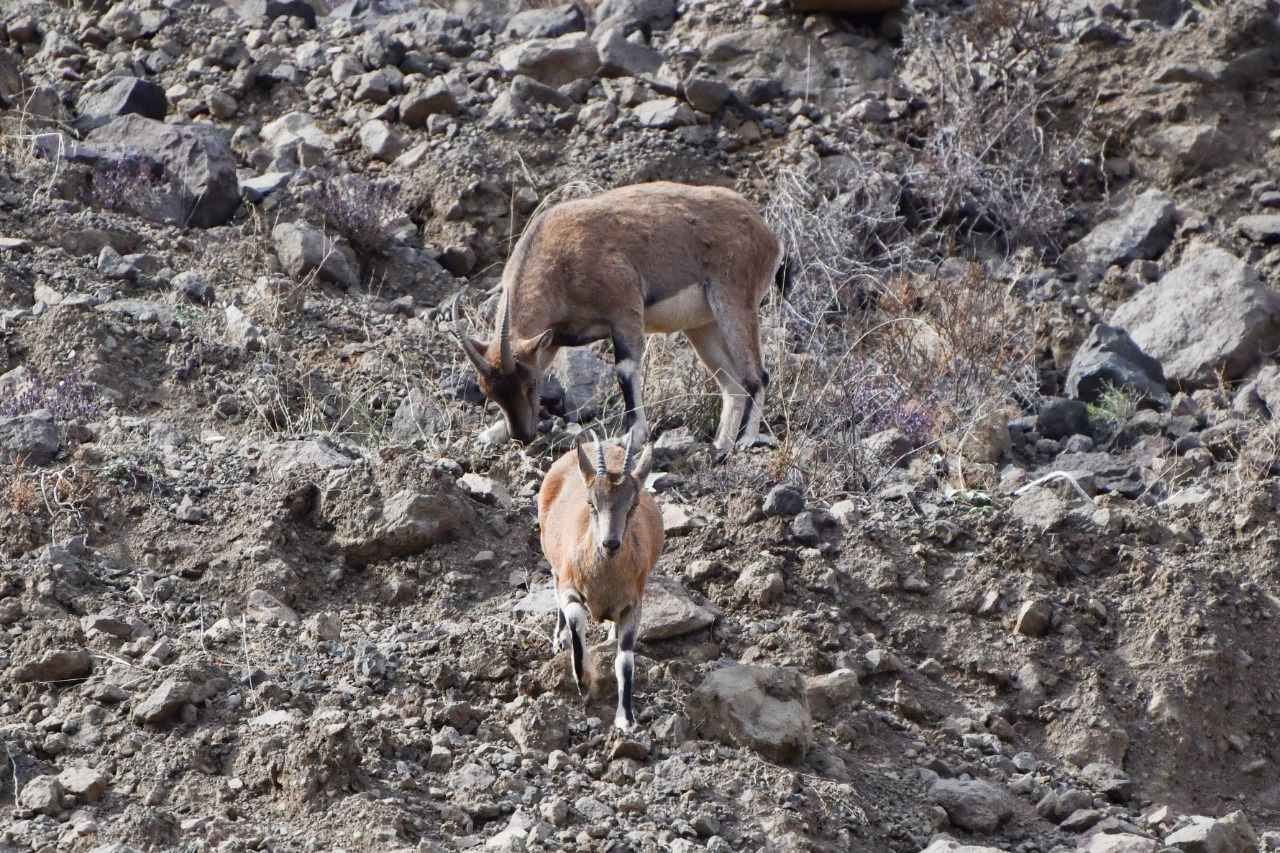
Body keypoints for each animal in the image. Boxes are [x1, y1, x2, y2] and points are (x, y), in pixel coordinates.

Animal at [450, 180, 788, 458]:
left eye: (530, 384)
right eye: (490, 392)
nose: (522, 435)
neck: (562, 259)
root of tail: (767, 235)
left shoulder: (624, 310)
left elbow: (625, 369)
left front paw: (632, 436)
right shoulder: (552, 340)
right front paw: (491, 434)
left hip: (734, 302)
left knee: (757, 375)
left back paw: (745, 440)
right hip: (702, 326)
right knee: (732, 384)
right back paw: (720, 445)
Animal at [537, 427, 665, 727]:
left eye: (633, 504)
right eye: (591, 503)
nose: (610, 544)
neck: (604, 580)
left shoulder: (633, 606)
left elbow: (625, 661)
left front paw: (625, 718)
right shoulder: (571, 587)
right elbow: (575, 617)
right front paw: (583, 681)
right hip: (552, 559)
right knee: (556, 591)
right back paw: (560, 639)